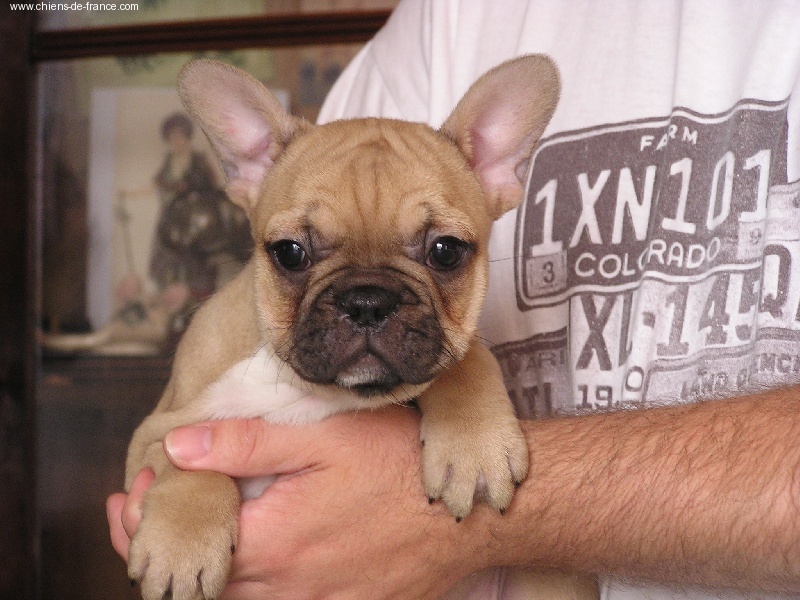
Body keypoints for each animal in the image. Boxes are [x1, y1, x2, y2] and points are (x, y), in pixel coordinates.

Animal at [125, 55, 588, 600]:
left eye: (446, 251)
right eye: (290, 252)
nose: (368, 301)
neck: (308, 390)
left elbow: (465, 358)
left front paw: (473, 443)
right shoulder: (156, 432)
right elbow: (190, 460)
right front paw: (183, 541)